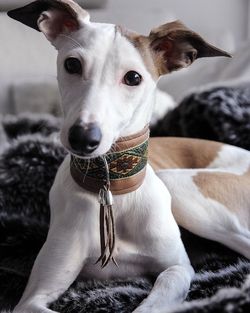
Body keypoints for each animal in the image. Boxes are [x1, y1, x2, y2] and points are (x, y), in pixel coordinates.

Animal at [7, 0, 250, 312]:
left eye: (133, 77)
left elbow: (155, 298)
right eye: (72, 64)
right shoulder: (33, 297)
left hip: (179, 186)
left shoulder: (178, 269)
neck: (112, 190)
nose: (83, 138)